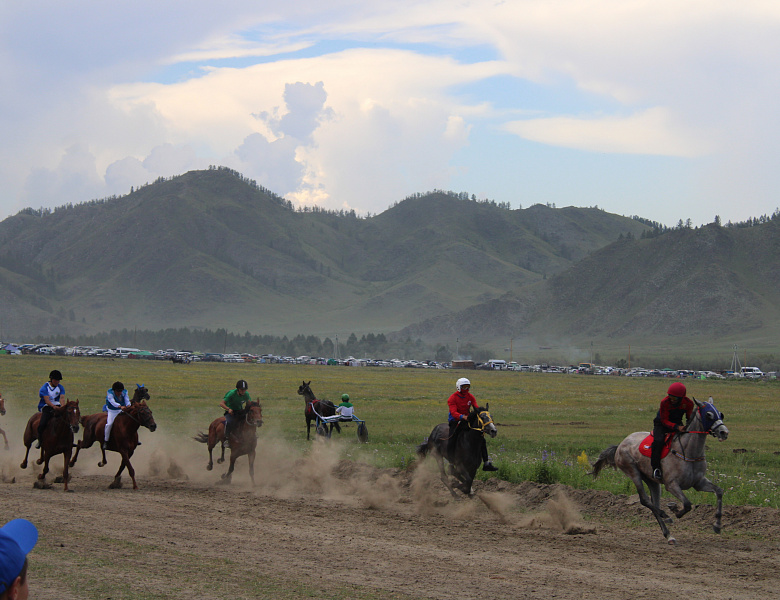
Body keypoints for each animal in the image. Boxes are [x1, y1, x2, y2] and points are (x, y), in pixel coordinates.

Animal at [592, 396, 732, 548]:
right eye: (708, 414)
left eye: (720, 414)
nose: (724, 432)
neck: (689, 452)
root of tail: (620, 444)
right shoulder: (671, 485)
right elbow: (687, 504)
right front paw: (675, 510)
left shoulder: (699, 483)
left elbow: (719, 491)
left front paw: (717, 525)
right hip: (633, 472)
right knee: (645, 500)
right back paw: (666, 516)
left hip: (652, 481)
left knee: (654, 504)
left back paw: (669, 534)